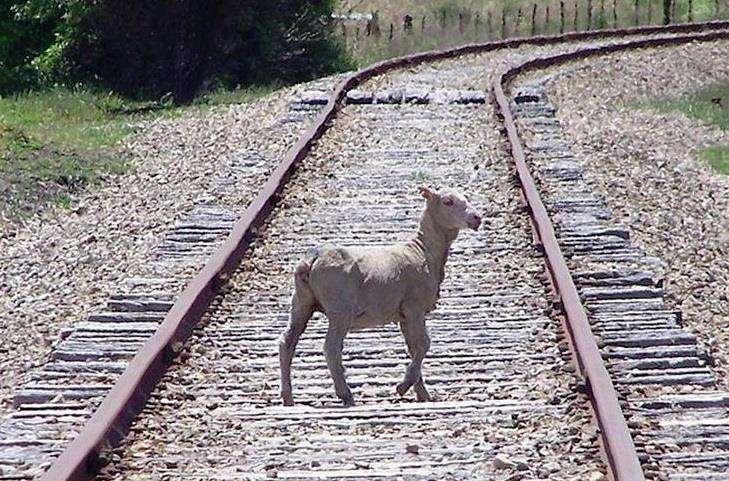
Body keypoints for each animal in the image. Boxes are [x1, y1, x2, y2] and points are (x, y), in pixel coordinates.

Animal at [278, 184, 484, 404]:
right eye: (447, 202)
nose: (477, 218)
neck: (424, 250)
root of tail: (312, 260)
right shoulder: (414, 307)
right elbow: (424, 344)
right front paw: (403, 386)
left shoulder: (404, 315)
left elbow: (413, 347)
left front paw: (422, 393)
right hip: (339, 308)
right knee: (331, 348)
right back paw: (346, 395)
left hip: (301, 302)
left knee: (287, 342)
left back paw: (288, 397)